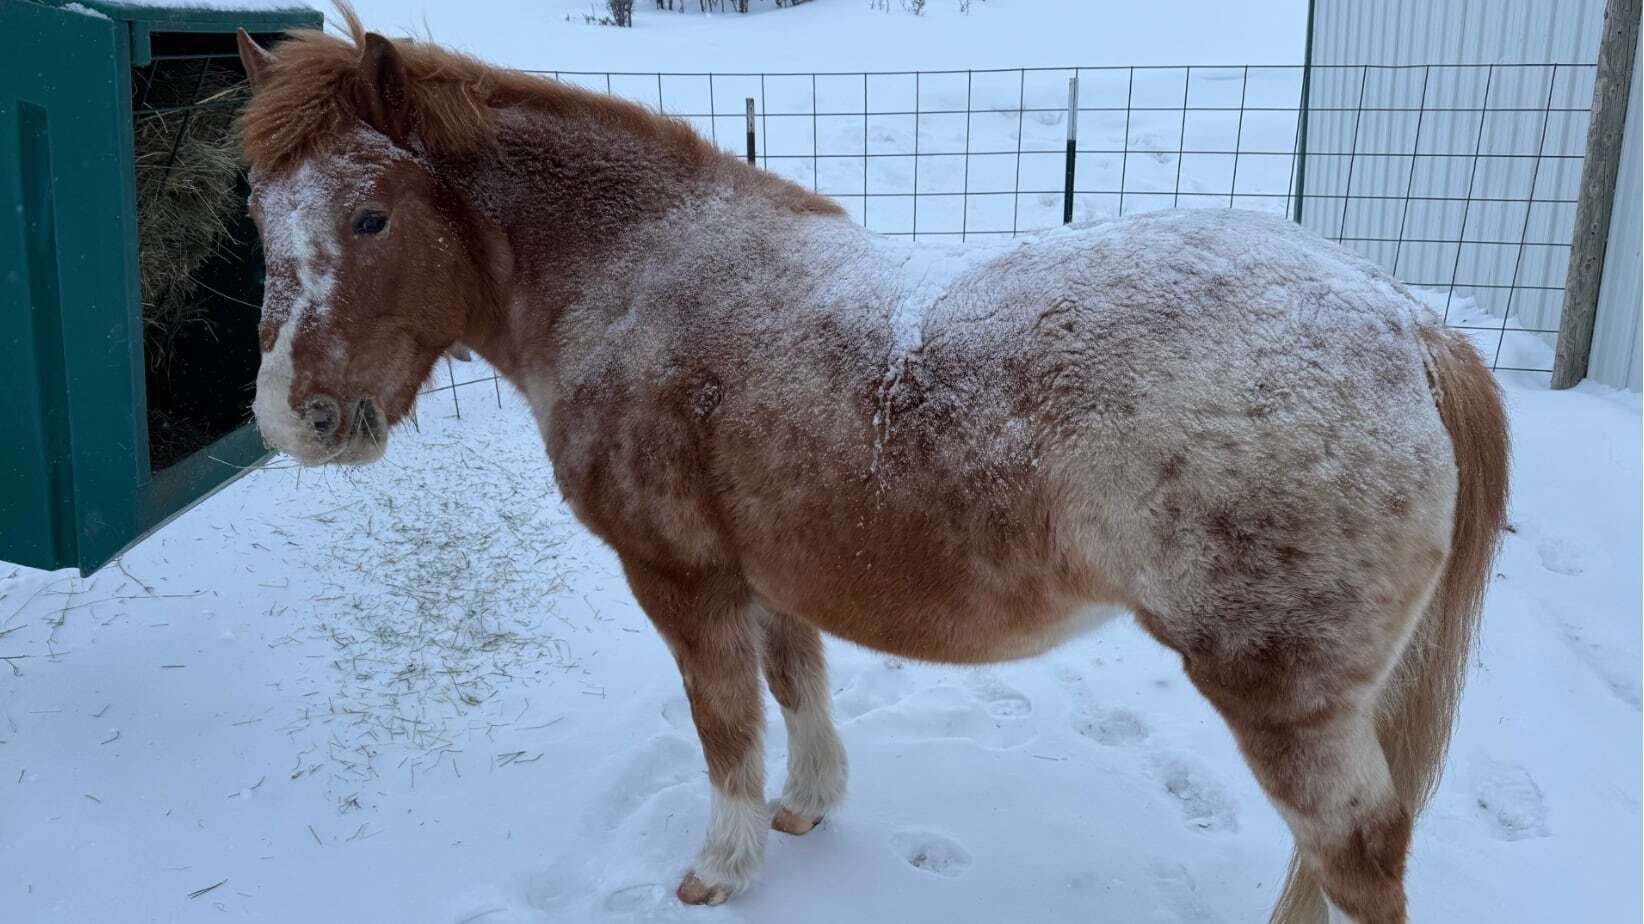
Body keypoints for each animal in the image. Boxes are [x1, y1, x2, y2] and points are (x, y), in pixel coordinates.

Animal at [238, 16, 1505, 920]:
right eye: (260, 214)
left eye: (370, 217)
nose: (294, 418)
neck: (637, 278)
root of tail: (1406, 323)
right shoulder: (769, 572)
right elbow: (799, 687)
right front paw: (807, 810)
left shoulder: (680, 577)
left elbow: (725, 726)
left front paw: (721, 869)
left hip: (1285, 700)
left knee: (1356, 855)